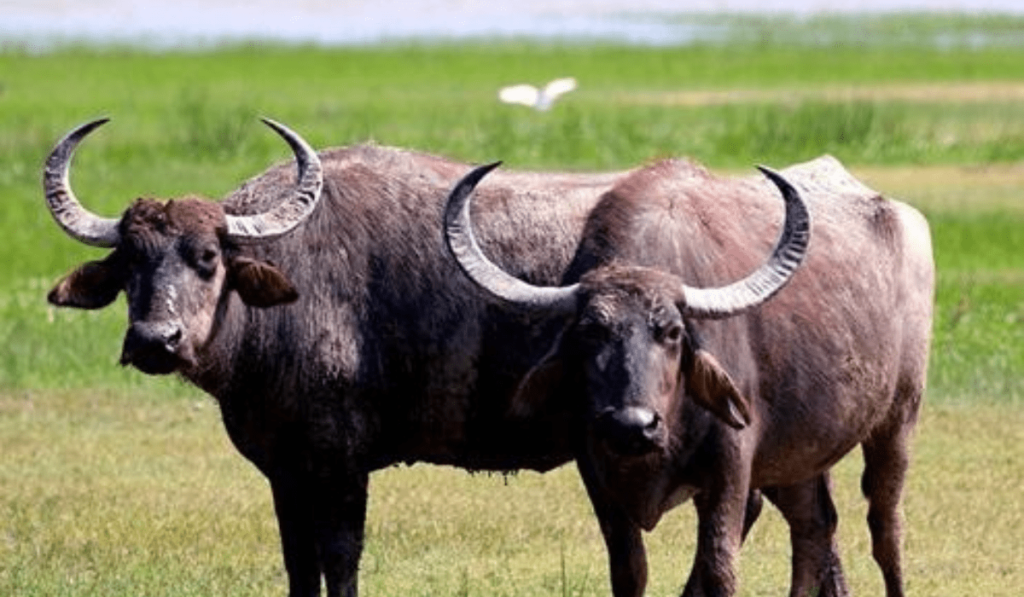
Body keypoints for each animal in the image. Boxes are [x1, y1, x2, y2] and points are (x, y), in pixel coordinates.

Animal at [41, 119, 647, 597]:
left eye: (208, 256)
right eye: (129, 263)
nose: (155, 339)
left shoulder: (341, 463)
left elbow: (340, 559)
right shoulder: (284, 470)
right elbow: (299, 564)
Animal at [448, 155, 937, 597]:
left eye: (672, 332)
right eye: (589, 332)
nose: (631, 426)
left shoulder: (730, 471)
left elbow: (719, 570)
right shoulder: (598, 474)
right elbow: (629, 572)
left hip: (898, 420)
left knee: (885, 527)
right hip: (799, 453)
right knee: (814, 526)